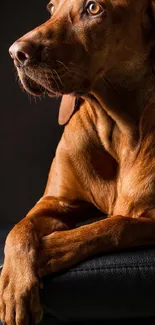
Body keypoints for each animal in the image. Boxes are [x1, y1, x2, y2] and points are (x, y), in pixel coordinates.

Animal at [0, 0, 155, 322]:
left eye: (93, 8)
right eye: (51, 7)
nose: (15, 53)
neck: (117, 127)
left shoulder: (146, 218)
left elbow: (116, 224)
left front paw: (52, 248)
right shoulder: (55, 202)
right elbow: (18, 229)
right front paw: (14, 286)